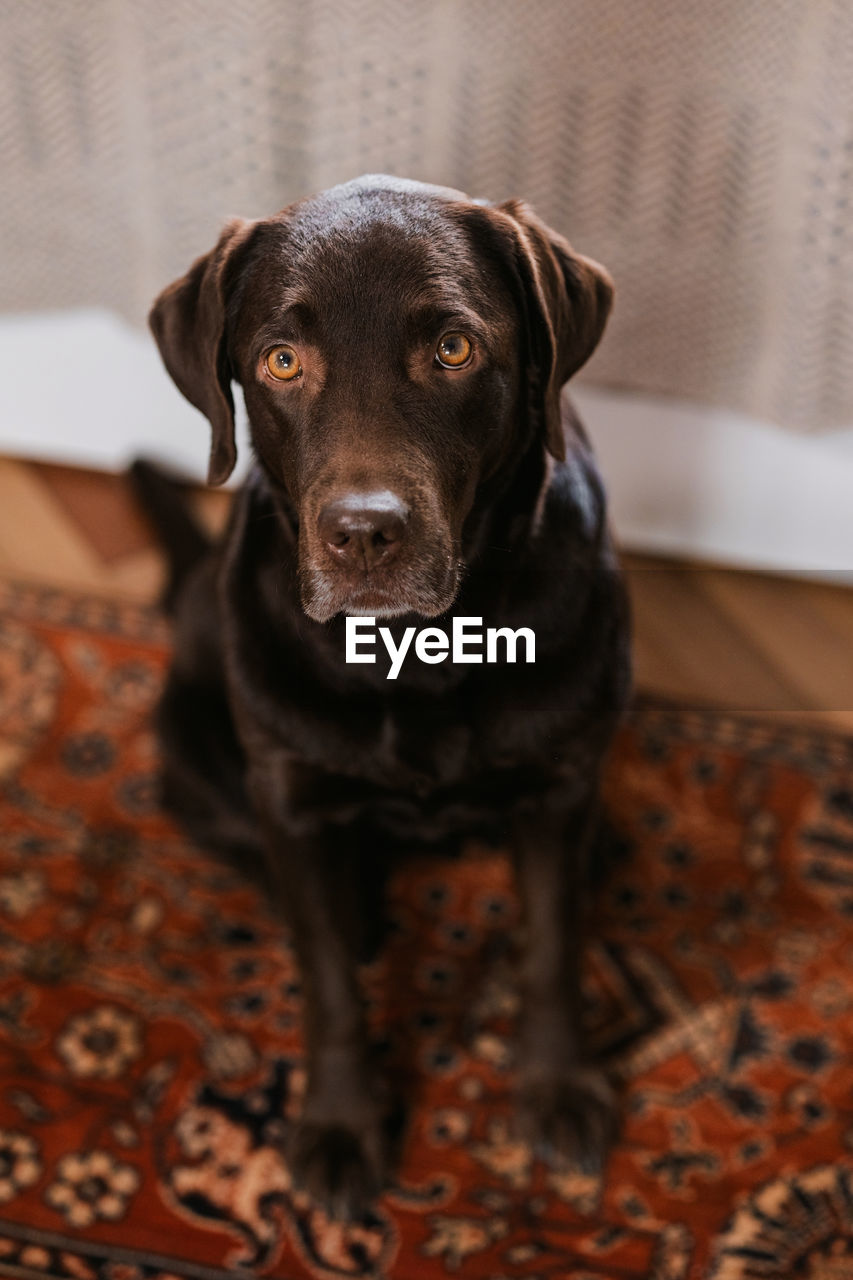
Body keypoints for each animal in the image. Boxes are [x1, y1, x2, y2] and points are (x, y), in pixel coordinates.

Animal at [136, 175, 627, 1213]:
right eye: (281, 360)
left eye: (453, 349)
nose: (364, 534)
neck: (417, 647)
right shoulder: (290, 798)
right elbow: (325, 980)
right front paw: (339, 1124)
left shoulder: (560, 787)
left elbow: (554, 942)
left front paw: (557, 1084)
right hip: (206, 763)